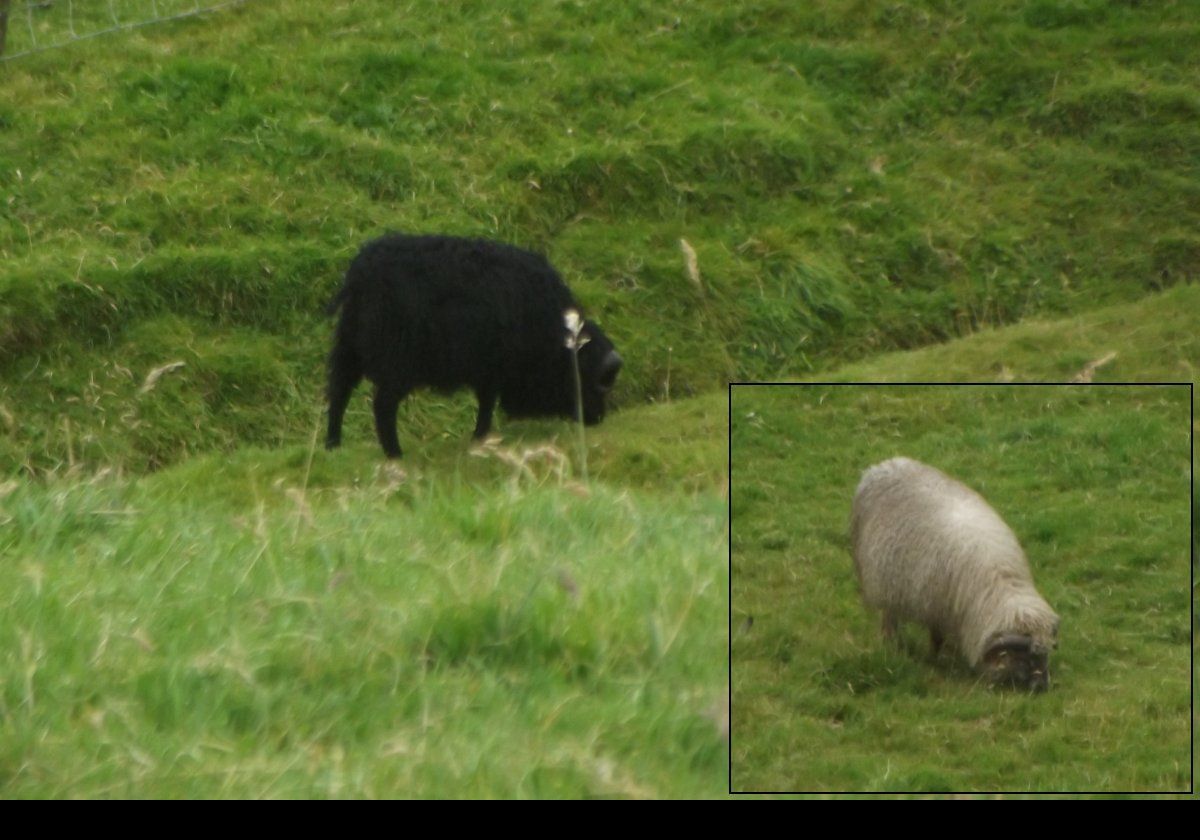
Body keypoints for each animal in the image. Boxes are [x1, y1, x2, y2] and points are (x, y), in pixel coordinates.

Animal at [328, 232, 628, 458]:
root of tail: (361, 275)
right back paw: (394, 455)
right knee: (382, 406)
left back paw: (332, 446)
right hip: (397, 361)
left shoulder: (489, 370)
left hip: (349, 349)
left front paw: (480, 439)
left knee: (338, 393)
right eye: (595, 382)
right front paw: (481, 438)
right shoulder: (494, 367)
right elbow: (487, 404)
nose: (597, 419)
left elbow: (486, 402)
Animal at [854, 458, 1060, 691]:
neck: (1000, 581)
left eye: (1047, 653)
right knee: (889, 618)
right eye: (1027, 657)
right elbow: (936, 638)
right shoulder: (936, 607)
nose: (1041, 688)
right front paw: (935, 658)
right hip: (885, 583)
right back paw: (889, 645)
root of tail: (885, 465)